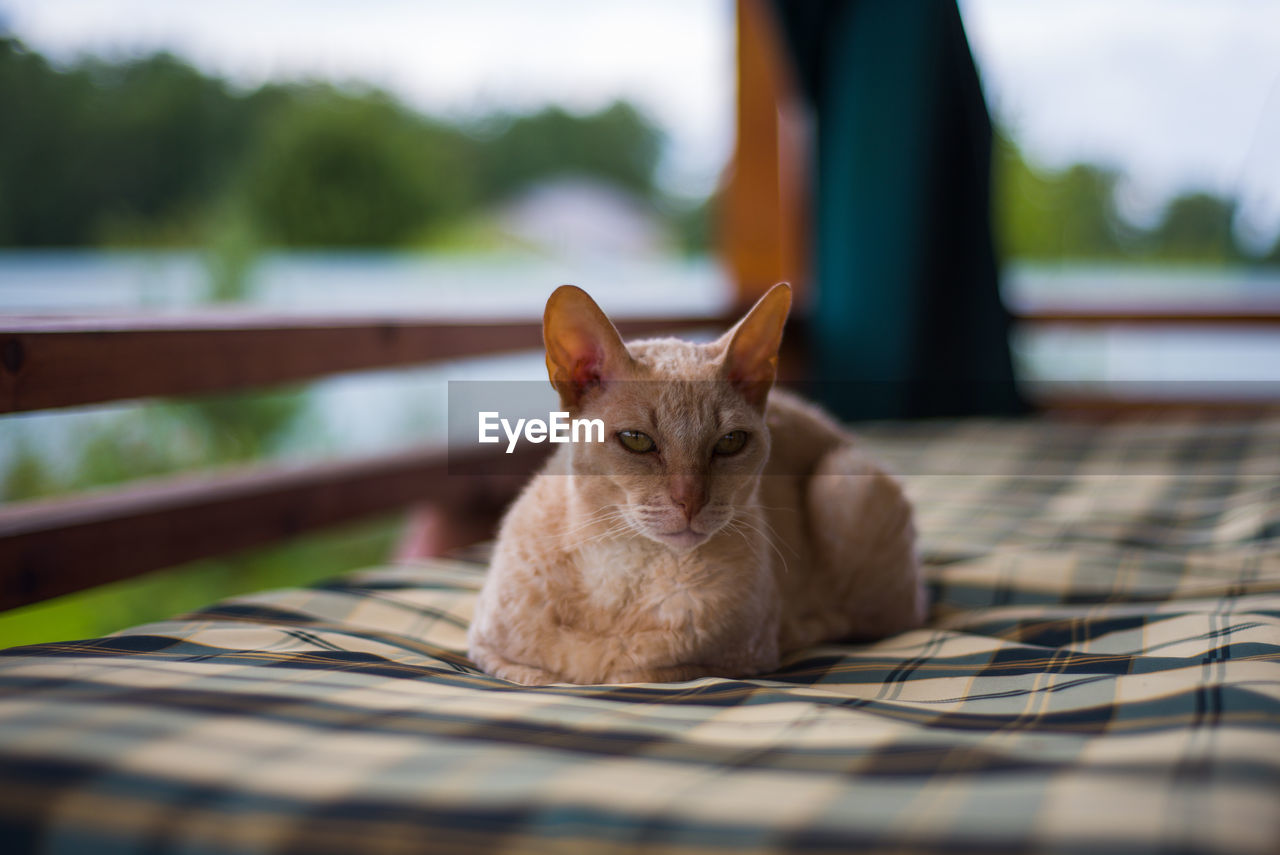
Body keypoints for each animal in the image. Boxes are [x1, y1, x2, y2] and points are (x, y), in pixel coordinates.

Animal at [465, 284, 926, 686]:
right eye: (636, 440)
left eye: (730, 442)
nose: (690, 501)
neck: (622, 571)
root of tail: (836, 429)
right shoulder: (489, 655)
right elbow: (547, 677)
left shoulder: (733, 661)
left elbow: (629, 673)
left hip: (843, 481)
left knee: (888, 617)